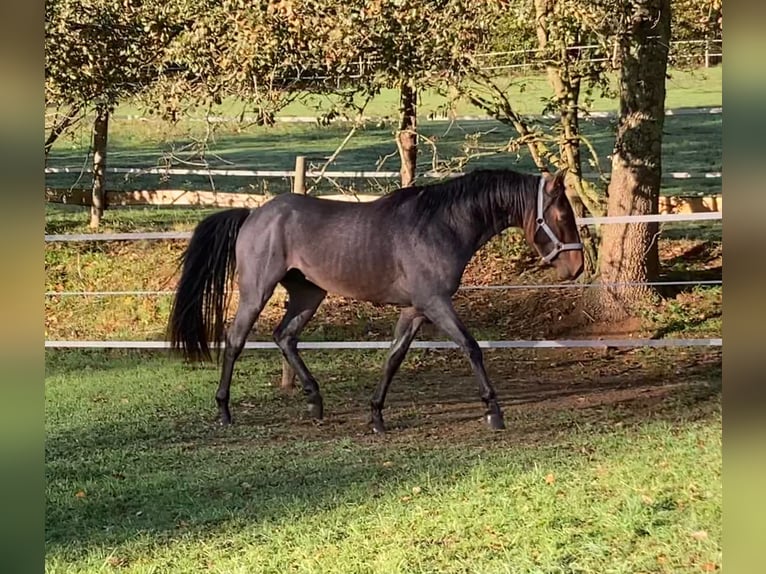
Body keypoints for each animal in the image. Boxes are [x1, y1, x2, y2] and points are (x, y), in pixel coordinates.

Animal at [170, 169, 584, 434]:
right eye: (562, 214)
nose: (577, 266)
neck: (441, 225)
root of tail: (254, 213)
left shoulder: (415, 309)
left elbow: (393, 357)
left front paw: (376, 416)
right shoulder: (435, 303)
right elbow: (471, 347)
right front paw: (494, 412)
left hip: (308, 293)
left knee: (284, 336)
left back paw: (315, 402)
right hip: (257, 291)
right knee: (235, 340)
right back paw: (224, 410)